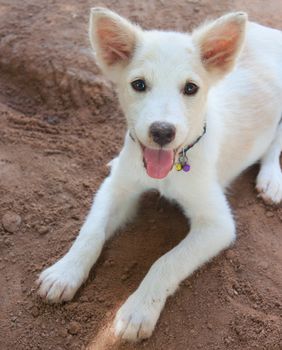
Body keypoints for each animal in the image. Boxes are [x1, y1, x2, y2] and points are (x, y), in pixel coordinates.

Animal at [37, 8, 282, 340]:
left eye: (191, 88)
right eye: (139, 84)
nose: (163, 132)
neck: (172, 166)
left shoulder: (217, 224)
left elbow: (167, 261)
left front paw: (138, 310)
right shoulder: (115, 190)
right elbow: (90, 232)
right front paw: (64, 272)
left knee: (275, 142)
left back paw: (271, 180)